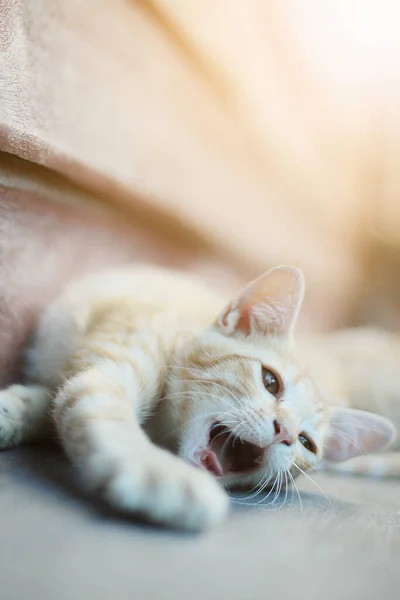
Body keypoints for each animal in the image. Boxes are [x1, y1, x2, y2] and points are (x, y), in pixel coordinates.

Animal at [0, 264, 396, 528]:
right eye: (270, 381)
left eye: (305, 442)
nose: (284, 431)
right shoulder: (112, 359)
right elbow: (97, 408)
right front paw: (159, 473)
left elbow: (58, 401)